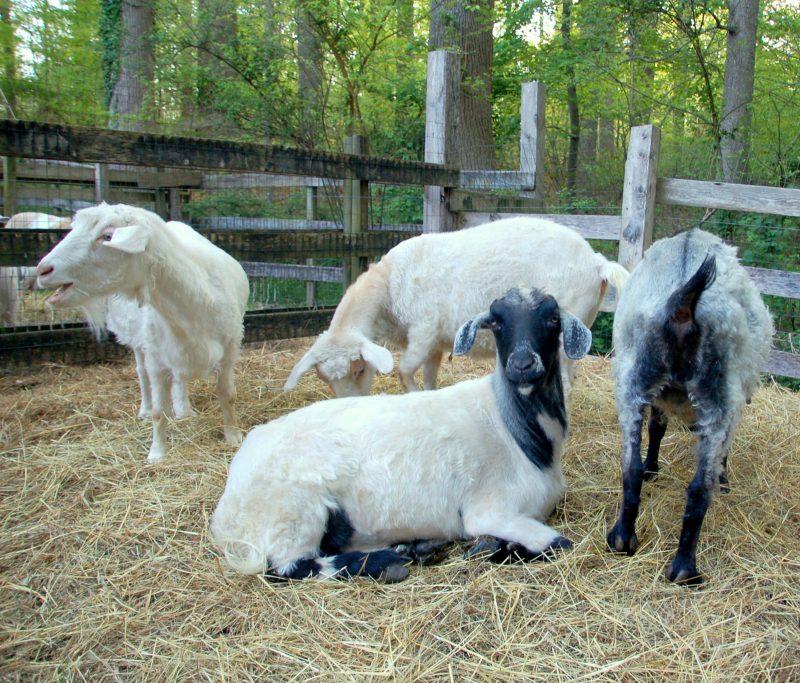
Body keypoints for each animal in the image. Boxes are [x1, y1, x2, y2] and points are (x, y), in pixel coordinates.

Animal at [36, 203, 250, 462]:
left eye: (107, 236)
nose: (43, 270)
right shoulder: (155, 356)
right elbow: (159, 410)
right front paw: (157, 453)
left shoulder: (230, 346)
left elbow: (227, 394)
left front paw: (233, 437)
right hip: (139, 342)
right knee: (142, 374)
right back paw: (146, 409)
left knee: (179, 379)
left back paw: (184, 410)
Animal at [210, 287, 592, 581]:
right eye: (496, 321)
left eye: (553, 319)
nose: (523, 365)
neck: (514, 432)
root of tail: (226, 511)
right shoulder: (489, 510)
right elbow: (559, 543)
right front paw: (491, 547)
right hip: (293, 513)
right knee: (290, 567)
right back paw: (391, 560)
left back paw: (416, 547)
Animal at [284, 217, 627, 399]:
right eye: (323, 379)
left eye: (359, 369)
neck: (388, 288)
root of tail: (597, 261)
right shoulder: (434, 344)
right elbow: (429, 377)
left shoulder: (423, 330)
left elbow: (404, 371)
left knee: (566, 382)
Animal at [606, 229, 773, 585]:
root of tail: (682, 304)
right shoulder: (732, 403)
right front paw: (723, 477)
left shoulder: (657, 395)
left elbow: (656, 428)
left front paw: (653, 467)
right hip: (718, 391)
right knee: (699, 489)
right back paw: (685, 568)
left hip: (631, 380)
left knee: (630, 467)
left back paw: (623, 538)